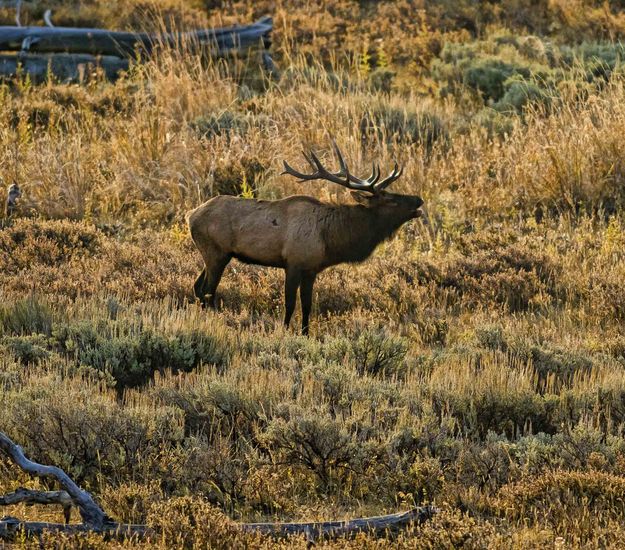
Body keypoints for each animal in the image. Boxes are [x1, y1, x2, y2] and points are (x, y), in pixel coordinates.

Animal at [188, 140, 422, 334]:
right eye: (390, 199)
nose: (419, 199)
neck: (330, 239)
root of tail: (190, 216)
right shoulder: (293, 263)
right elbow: (290, 303)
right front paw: (284, 331)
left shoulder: (311, 269)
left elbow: (307, 305)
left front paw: (305, 333)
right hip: (216, 253)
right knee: (208, 290)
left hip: (217, 255)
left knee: (198, 287)